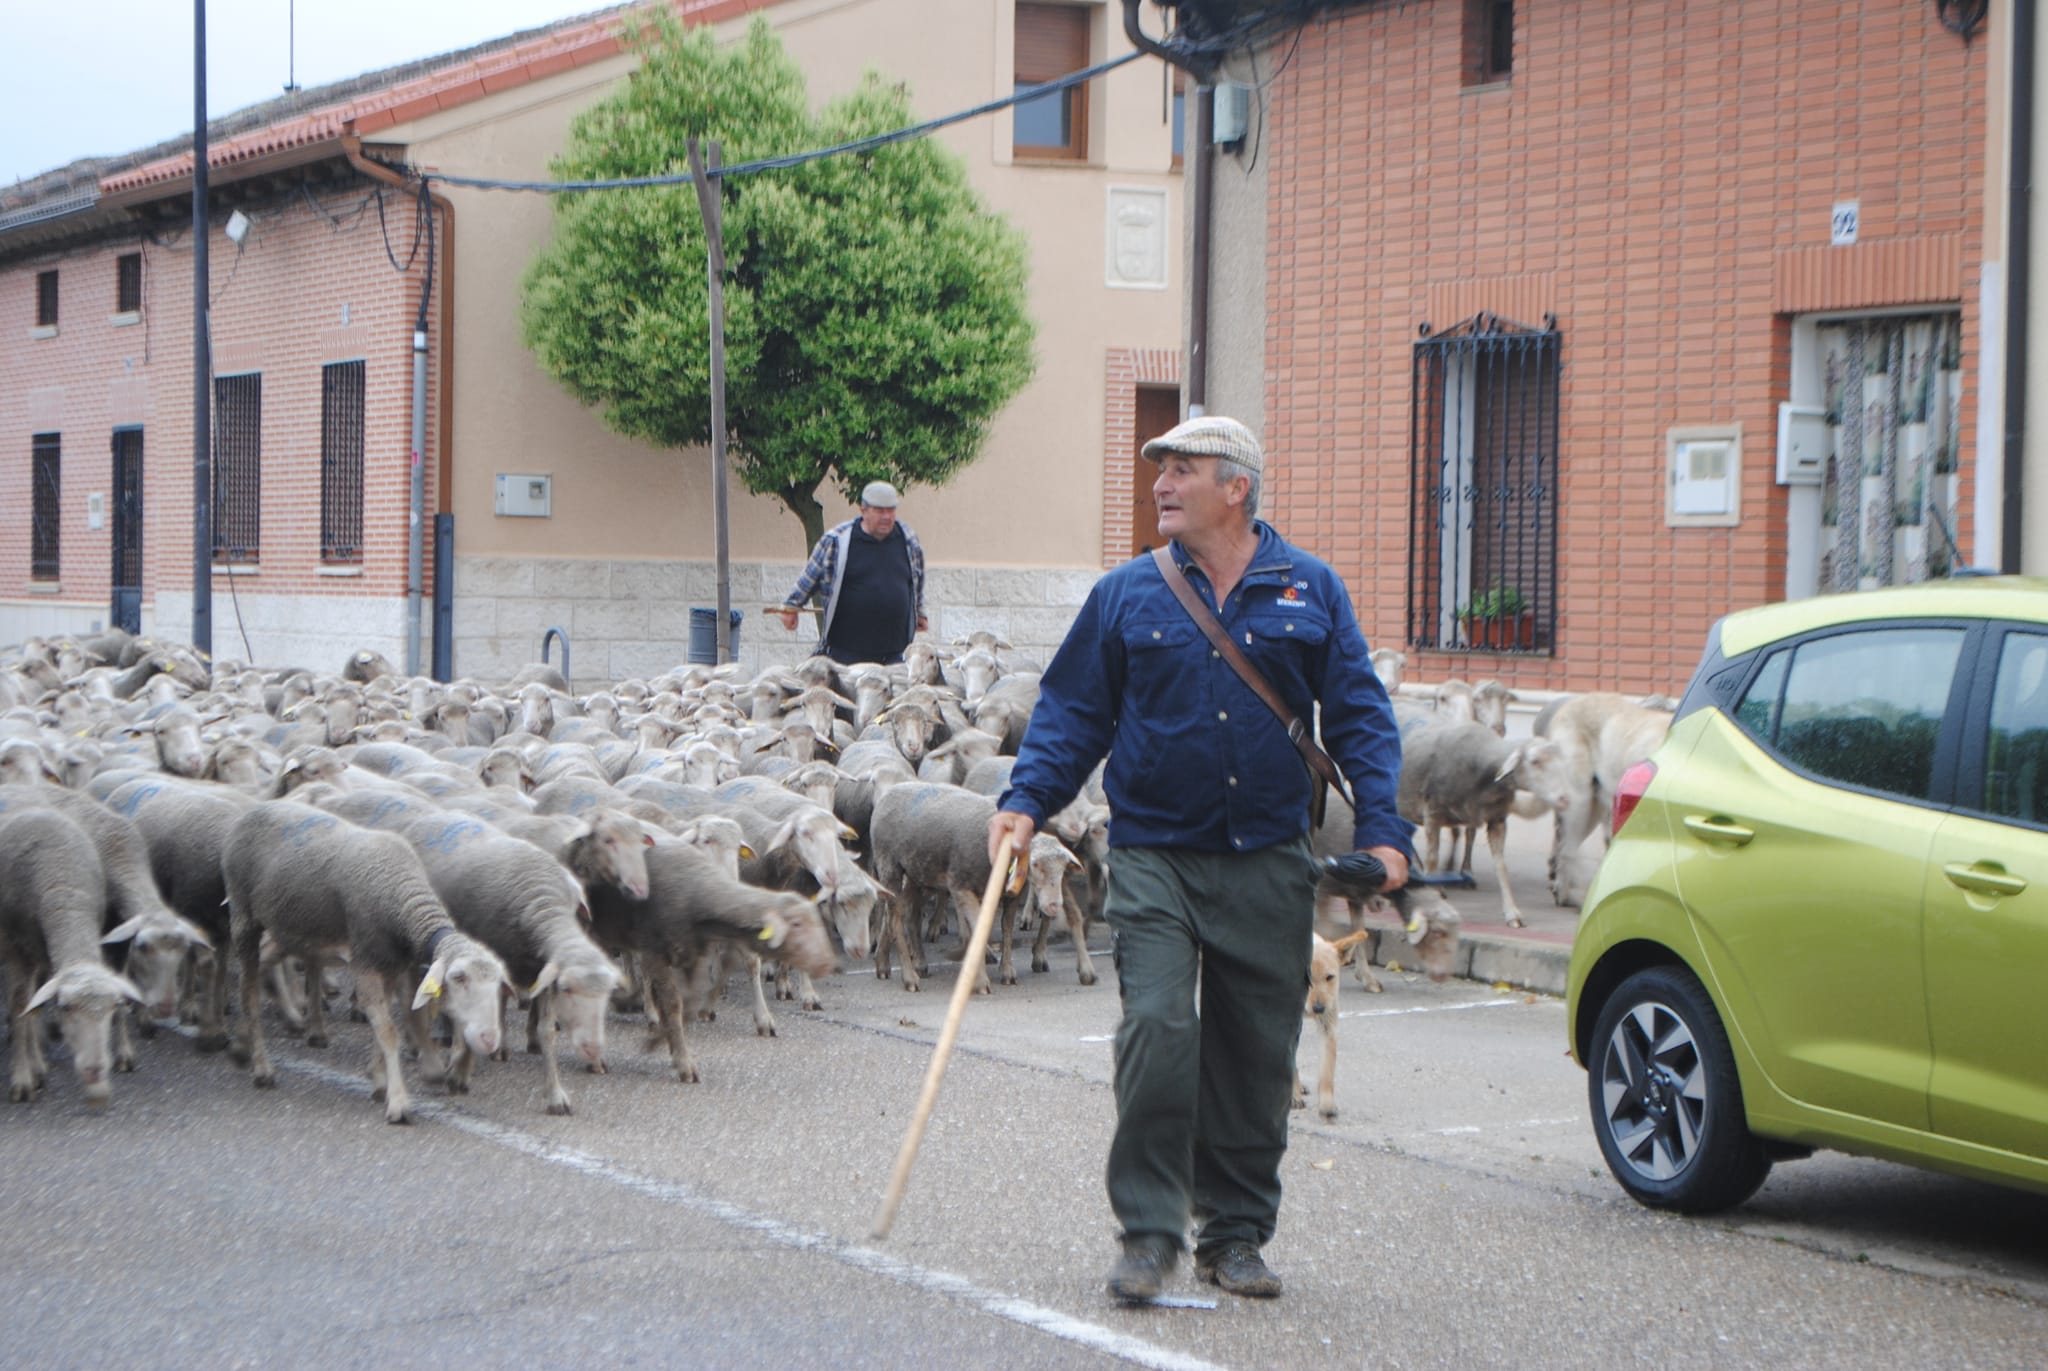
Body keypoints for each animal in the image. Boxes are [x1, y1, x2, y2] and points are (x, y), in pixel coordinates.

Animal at [1302, 926, 1368, 1114]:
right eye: (1306, 978)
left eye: (1330, 977)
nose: (1318, 1009)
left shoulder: (1328, 1026)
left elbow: (1327, 1070)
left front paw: (1327, 1104)